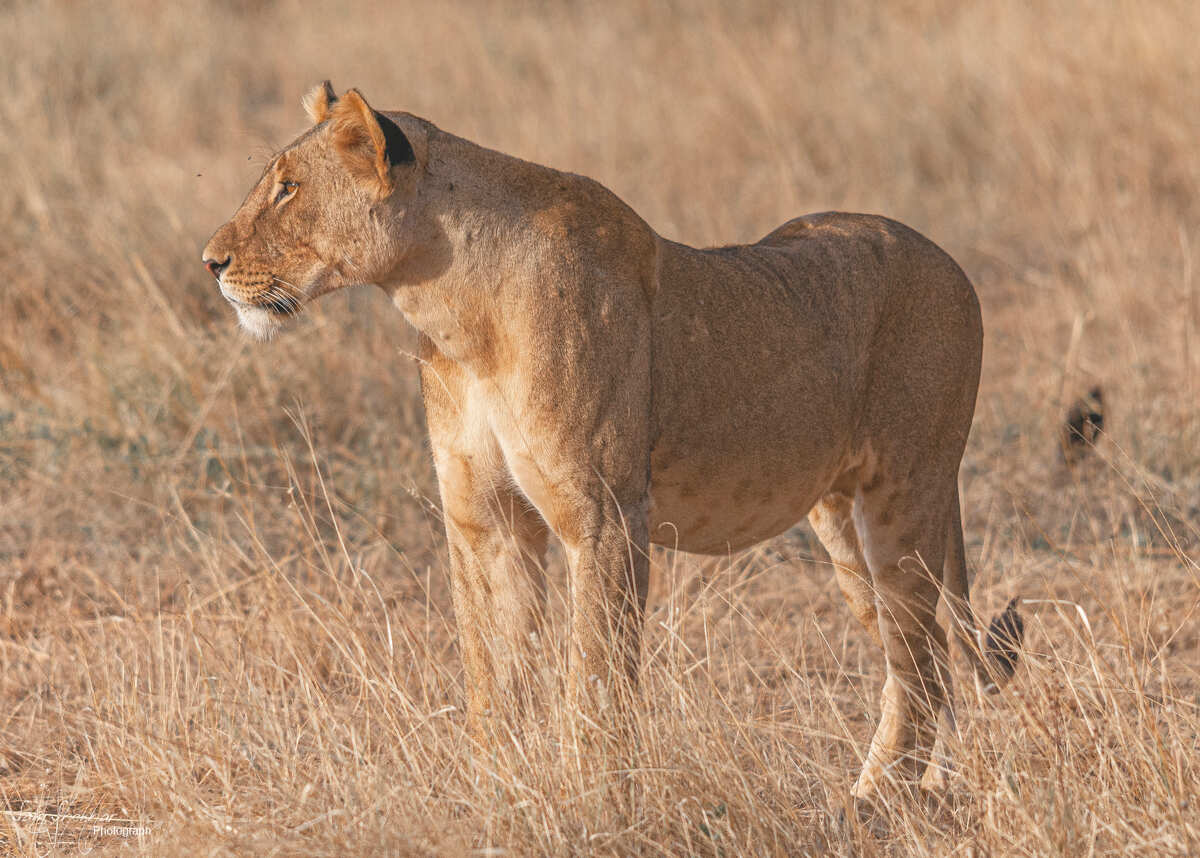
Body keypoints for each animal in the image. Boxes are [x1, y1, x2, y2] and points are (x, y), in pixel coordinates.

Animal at [202, 82, 1022, 801]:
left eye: (287, 189)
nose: (211, 262)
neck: (454, 311)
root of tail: (950, 261)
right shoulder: (485, 522)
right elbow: (492, 676)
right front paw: (494, 793)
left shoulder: (603, 516)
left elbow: (593, 678)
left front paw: (591, 798)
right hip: (841, 522)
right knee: (921, 658)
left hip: (905, 497)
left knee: (922, 665)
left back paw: (872, 804)